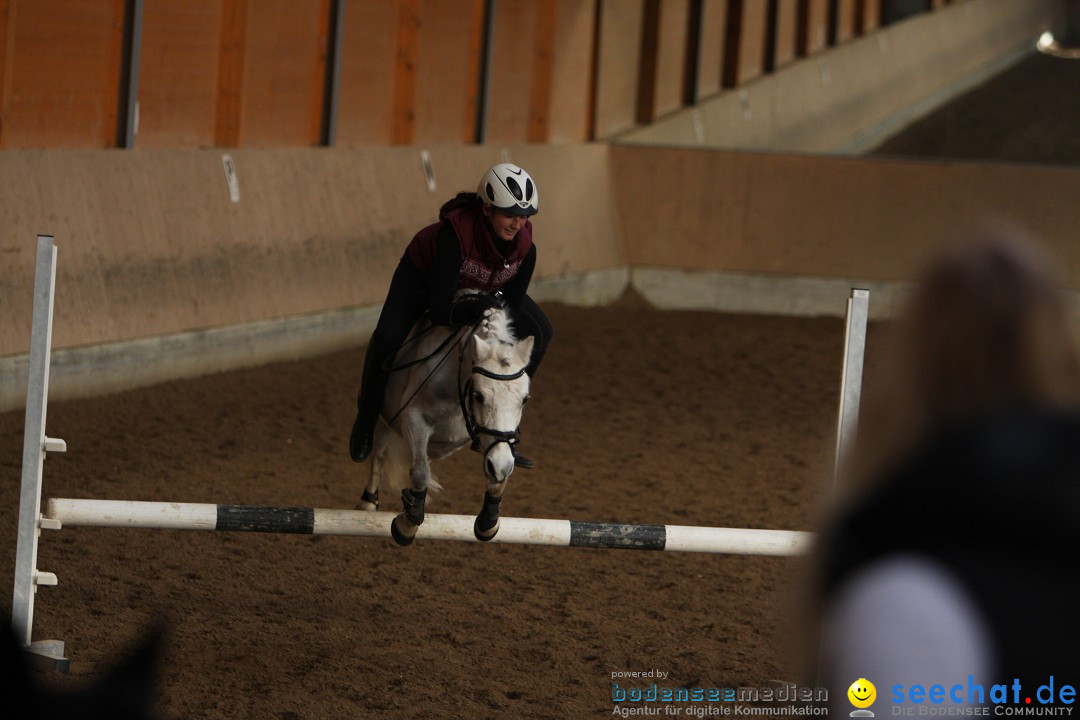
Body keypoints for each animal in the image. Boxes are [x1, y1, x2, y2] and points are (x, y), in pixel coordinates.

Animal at [360, 293, 533, 546]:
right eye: (478, 396)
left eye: (524, 399)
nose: (502, 465)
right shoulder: (413, 420)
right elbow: (420, 472)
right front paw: (406, 526)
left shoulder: (487, 438)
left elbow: (497, 475)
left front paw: (488, 523)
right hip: (386, 420)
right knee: (380, 453)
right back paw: (368, 501)